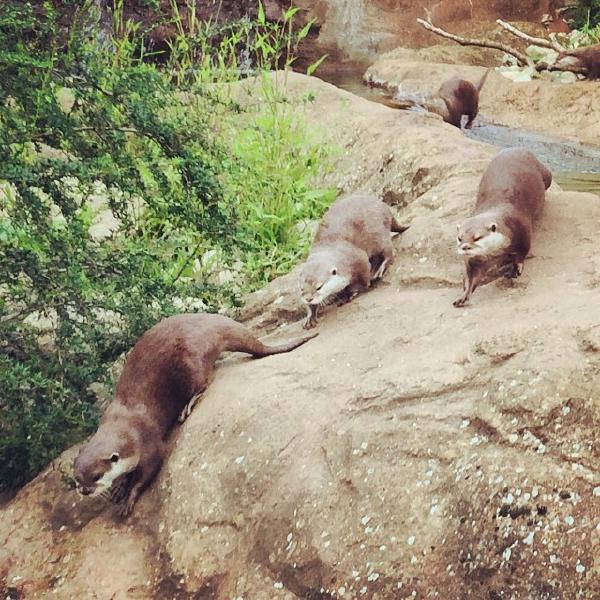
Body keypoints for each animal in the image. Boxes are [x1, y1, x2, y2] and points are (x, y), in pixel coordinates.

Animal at [74, 314, 318, 516]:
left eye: (96, 476)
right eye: (77, 479)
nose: (85, 491)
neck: (122, 422)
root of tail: (212, 325)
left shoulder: (149, 443)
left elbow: (149, 470)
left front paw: (129, 495)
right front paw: (119, 486)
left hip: (191, 360)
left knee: (205, 381)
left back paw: (188, 405)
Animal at [298, 195, 410, 328]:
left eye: (319, 287)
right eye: (302, 289)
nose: (308, 298)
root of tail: (385, 208)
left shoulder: (359, 260)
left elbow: (361, 282)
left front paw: (349, 294)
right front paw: (310, 315)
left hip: (379, 233)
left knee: (388, 251)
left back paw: (379, 269)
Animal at [452, 149, 552, 310]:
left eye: (477, 237)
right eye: (459, 238)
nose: (465, 247)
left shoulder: (523, 232)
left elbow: (521, 255)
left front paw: (515, 270)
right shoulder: (474, 262)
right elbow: (470, 279)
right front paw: (462, 297)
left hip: (547, 174)